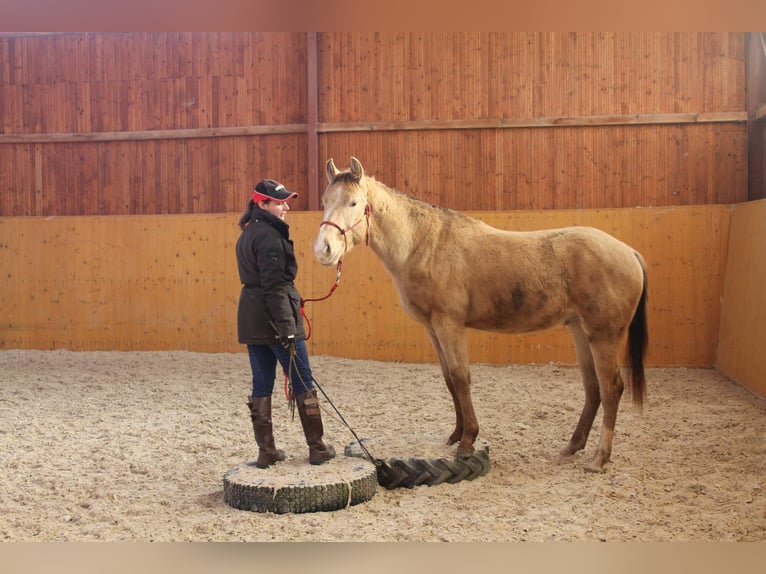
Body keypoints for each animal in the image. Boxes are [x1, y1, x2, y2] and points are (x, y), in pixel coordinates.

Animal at [314, 157, 648, 473]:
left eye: (353, 203)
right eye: (325, 200)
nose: (323, 250)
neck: (426, 245)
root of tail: (629, 252)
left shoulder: (450, 325)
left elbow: (462, 378)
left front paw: (468, 441)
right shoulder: (433, 330)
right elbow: (450, 379)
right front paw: (455, 435)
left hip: (604, 336)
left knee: (611, 388)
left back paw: (599, 458)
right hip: (580, 330)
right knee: (592, 388)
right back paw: (572, 446)